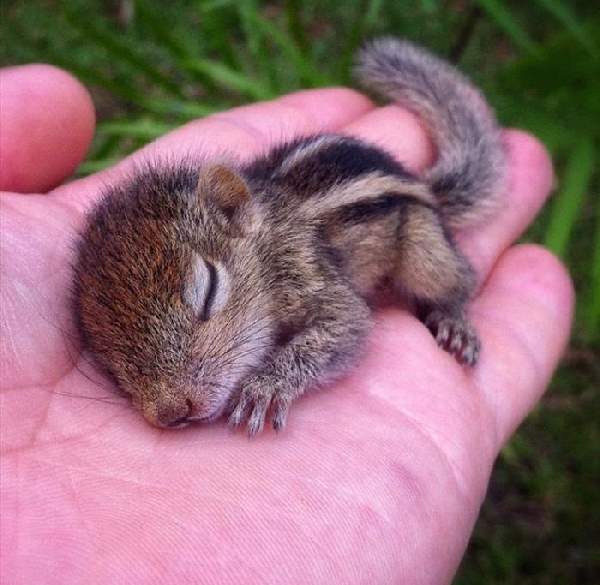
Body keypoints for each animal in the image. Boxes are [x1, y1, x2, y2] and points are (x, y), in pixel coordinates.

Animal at [74, 37, 506, 434]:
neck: (267, 243)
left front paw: (266, 386)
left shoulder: (308, 274)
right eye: (106, 359)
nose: (171, 412)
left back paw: (454, 319)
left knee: (458, 279)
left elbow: (347, 327)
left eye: (209, 291)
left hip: (423, 247)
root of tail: (422, 184)